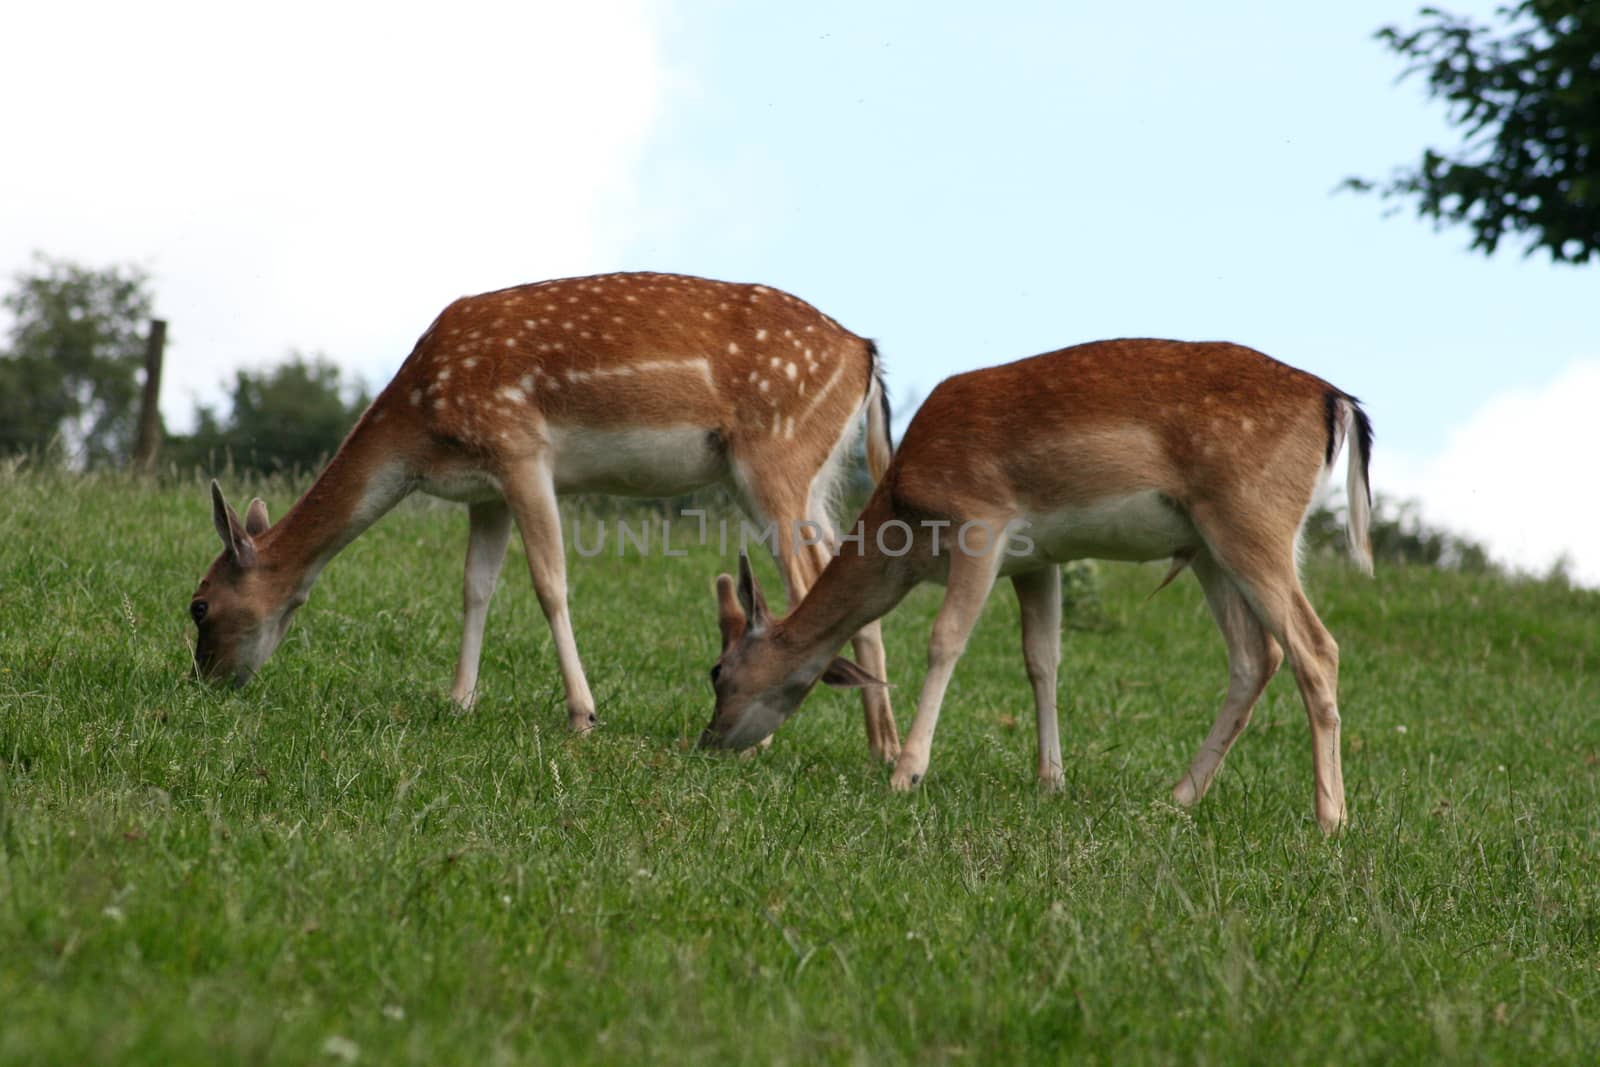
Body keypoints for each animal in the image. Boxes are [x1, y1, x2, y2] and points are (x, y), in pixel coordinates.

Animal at [187, 273, 902, 758]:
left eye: (198, 605)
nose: (204, 680)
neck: (419, 430)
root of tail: (866, 354)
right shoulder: (485, 492)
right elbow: (475, 587)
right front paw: (459, 701)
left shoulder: (521, 448)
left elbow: (549, 582)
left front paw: (582, 716)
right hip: (816, 476)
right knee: (853, 583)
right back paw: (883, 752)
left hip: (773, 455)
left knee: (807, 587)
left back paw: (768, 743)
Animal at [700, 337, 1376, 831]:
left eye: (719, 672)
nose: (709, 741)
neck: (906, 525)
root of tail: (1338, 402)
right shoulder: (1037, 559)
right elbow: (1042, 659)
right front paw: (1052, 781)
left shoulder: (982, 519)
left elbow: (946, 639)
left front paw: (906, 775)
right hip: (1210, 546)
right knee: (1256, 656)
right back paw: (1179, 796)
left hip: (1252, 517)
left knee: (1316, 647)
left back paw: (1330, 820)